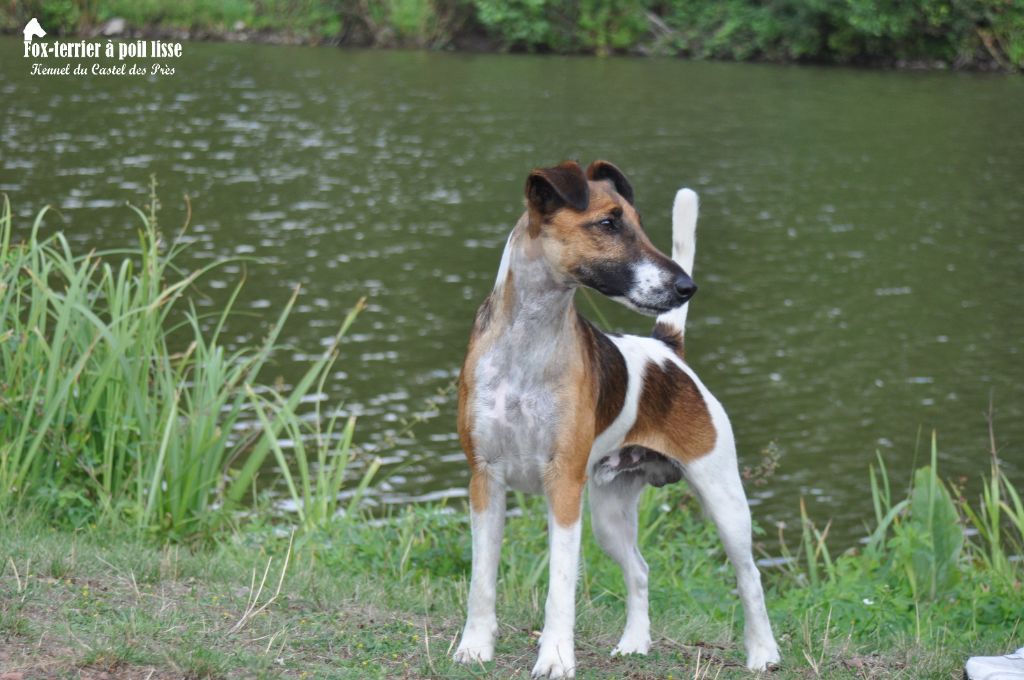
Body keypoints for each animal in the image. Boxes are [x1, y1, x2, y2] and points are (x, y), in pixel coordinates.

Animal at [452, 160, 778, 680]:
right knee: (640, 570)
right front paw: (475, 647)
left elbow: (560, 586)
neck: (527, 344)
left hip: (724, 499)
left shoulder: (564, 486)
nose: (686, 286)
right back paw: (634, 644)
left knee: (750, 578)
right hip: (609, 515)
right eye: (607, 223)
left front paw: (555, 657)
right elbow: (482, 580)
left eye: (640, 223)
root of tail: (668, 350)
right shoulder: (485, 479)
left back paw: (763, 653)